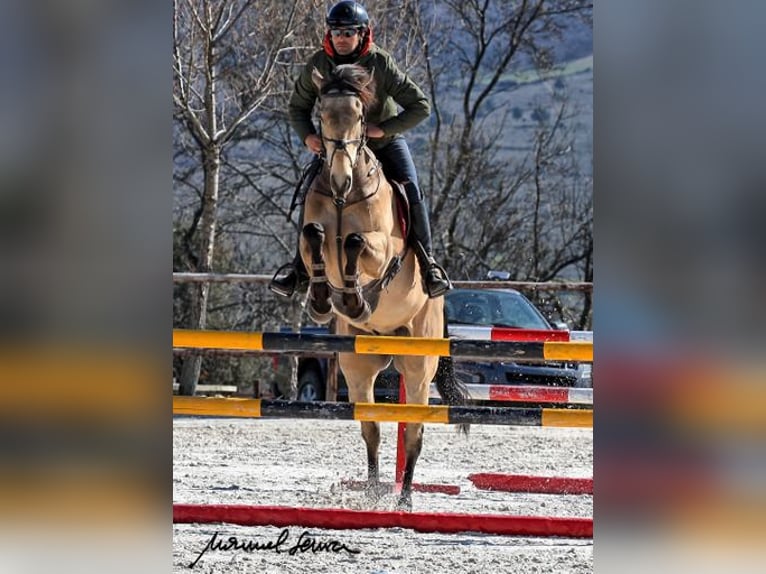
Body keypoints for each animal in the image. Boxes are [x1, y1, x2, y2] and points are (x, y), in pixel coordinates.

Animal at [298, 65, 468, 510]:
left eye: (360, 116)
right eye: (321, 114)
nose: (340, 180)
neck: (345, 198)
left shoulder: (383, 249)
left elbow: (358, 244)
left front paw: (354, 297)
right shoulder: (314, 235)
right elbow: (313, 235)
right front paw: (323, 299)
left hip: (419, 365)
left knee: (414, 432)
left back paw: (404, 500)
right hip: (358, 365)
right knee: (371, 427)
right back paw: (374, 493)